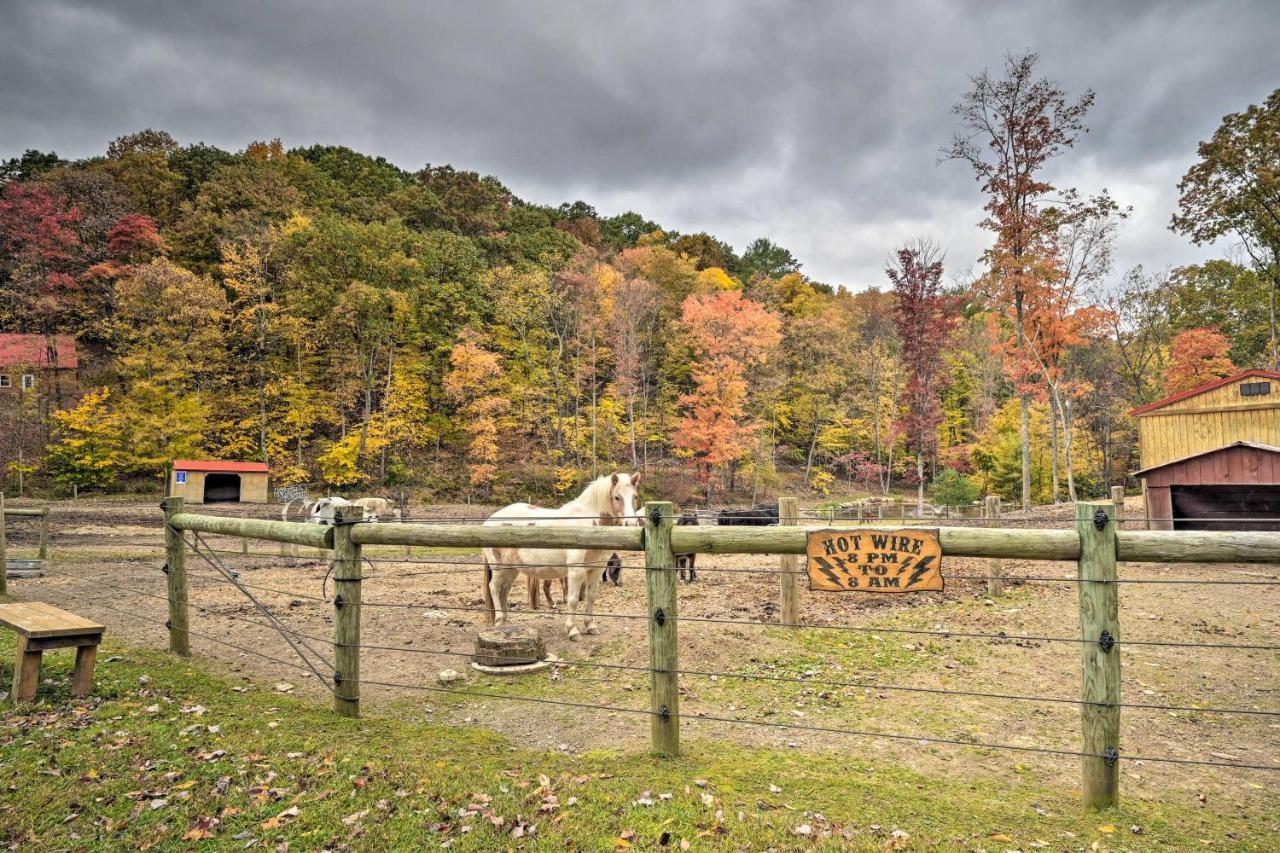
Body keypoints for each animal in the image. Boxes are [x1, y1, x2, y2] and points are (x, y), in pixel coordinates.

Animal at [481, 471, 640, 637]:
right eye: (617, 497)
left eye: (635, 496)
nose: (631, 524)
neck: (588, 524)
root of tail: (488, 521)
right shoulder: (576, 571)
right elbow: (573, 599)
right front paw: (572, 630)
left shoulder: (595, 570)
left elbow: (590, 597)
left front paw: (590, 626)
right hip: (499, 568)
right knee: (494, 588)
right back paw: (499, 620)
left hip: (512, 569)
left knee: (504, 590)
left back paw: (505, 622)